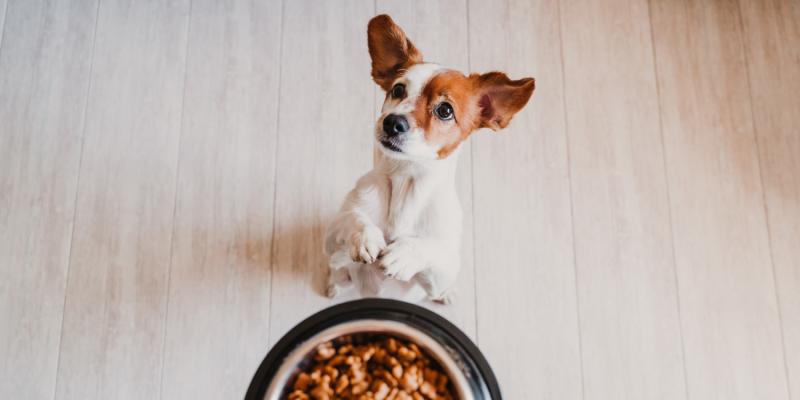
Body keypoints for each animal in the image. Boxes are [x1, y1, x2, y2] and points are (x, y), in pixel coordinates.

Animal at [322, 14, 536, 304]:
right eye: (398, 90)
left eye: (445, 110)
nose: (392, 122)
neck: (405, 180)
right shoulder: (332, 240)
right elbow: (351, 218)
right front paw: (364, 236)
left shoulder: (445, 267)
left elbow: (434, 249)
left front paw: (405, 253)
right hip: (340, 271)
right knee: (337, 274)